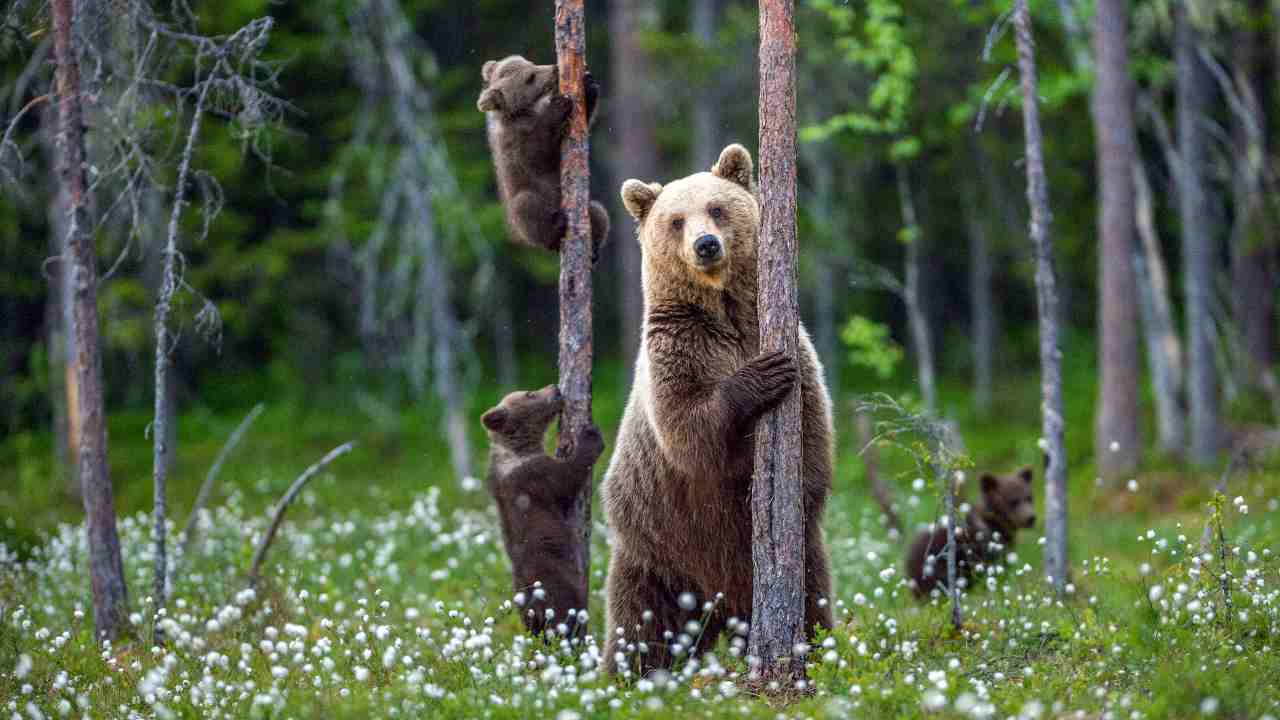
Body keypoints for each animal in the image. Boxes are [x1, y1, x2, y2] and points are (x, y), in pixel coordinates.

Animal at [478, 55, 606, 257]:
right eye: (530, 77)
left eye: (531, 63)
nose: (555, 68)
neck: (526, 111)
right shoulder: (515, 143)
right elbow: (538, 155)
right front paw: (559, 105)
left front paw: (588, 85)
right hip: (524, 206)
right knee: (526, 207)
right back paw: (556, 227)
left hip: (588, 209)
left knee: (598, 210)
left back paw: (593, 249)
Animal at [481, 384, 606, 635]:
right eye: (529, 393)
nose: (555, 388)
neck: (519, 449)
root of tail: (534, 608)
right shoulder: (535, 477)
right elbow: (567, 479)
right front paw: (590, 436)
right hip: (557, 584)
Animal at [604, 144, 834, 671]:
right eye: (675, 220)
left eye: (717, 208)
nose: (706, 244)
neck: (724, 312)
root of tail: (719, 609)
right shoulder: (678, 350)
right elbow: (689, 430)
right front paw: (760, 376)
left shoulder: (794, 347)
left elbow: (812, 435)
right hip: (656, 551)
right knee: (640, 625)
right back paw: (623, 674)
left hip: (798, 562)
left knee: (813, 597)